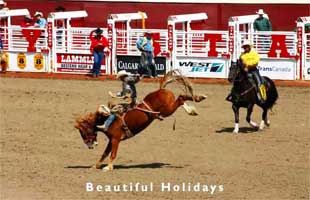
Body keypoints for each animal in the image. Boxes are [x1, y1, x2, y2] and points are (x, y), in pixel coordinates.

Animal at [74, 70, 206, 172]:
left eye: (84, 133)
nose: (89, 146)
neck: (105, 119)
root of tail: (161, 90)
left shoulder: (116, 139)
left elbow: (113, 153)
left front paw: (108, 167)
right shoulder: (111, 140)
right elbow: (104, 153)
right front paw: (95, 165)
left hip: (168, 110)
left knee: (181, 98)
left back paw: (198, 99)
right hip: (167, 110)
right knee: (182, 99)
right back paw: (194, 105)